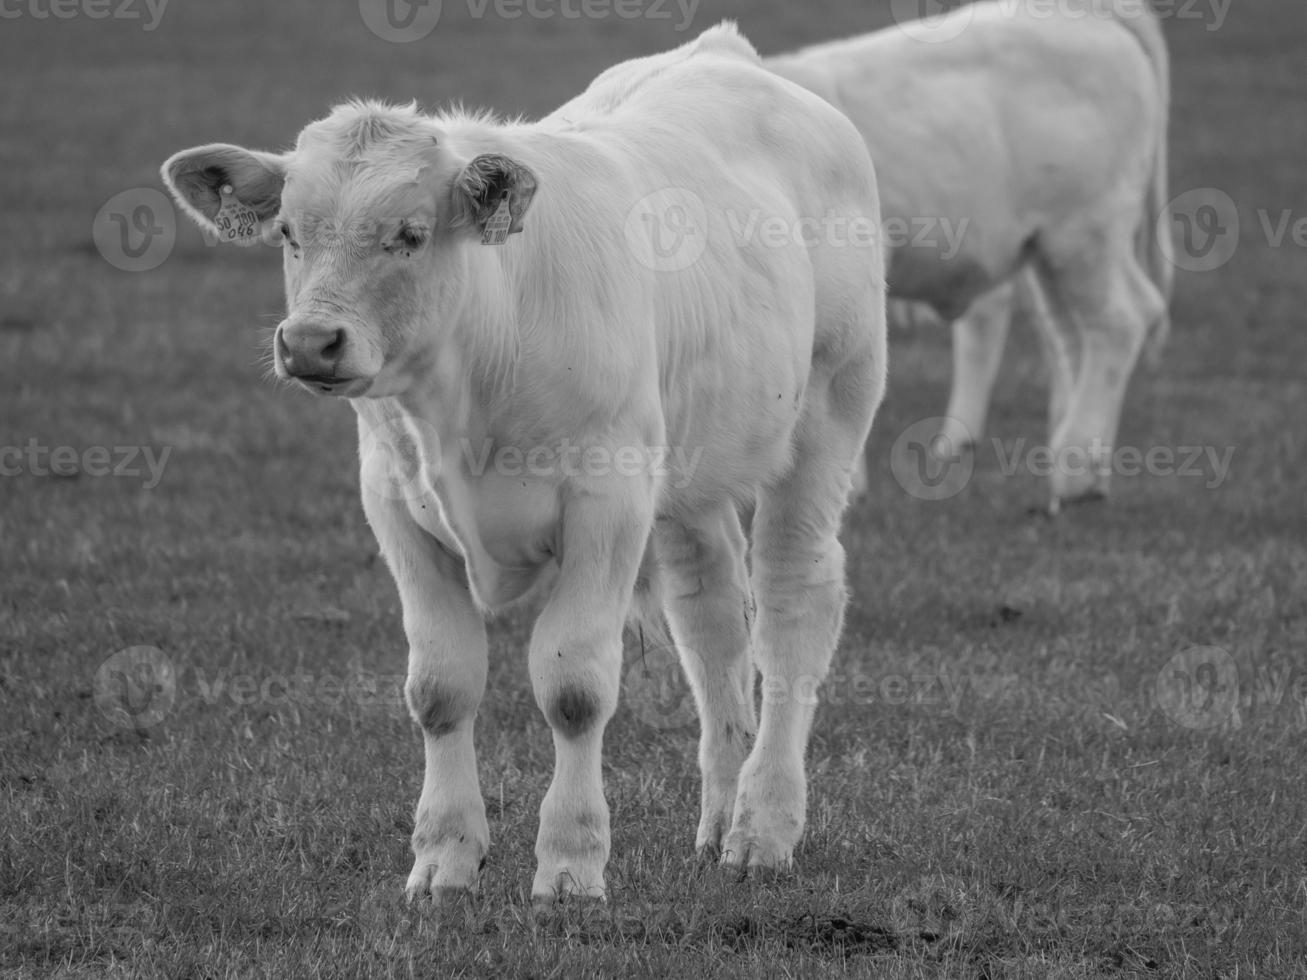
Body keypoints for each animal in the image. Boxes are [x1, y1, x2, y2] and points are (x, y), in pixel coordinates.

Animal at [158, 23, 883, 909]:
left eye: (410, 233)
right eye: (291, 233)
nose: (308, 342)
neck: (466, 386)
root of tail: (727, 55)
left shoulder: (607, 500)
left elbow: (574, 688)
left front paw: (570, 864)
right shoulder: (393, 504)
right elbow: (439, 687)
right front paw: (444, 858)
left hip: (828, 412)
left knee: (791, 604)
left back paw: (763, 828)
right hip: (690, 471)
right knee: (711, 617)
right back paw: (717, 823)